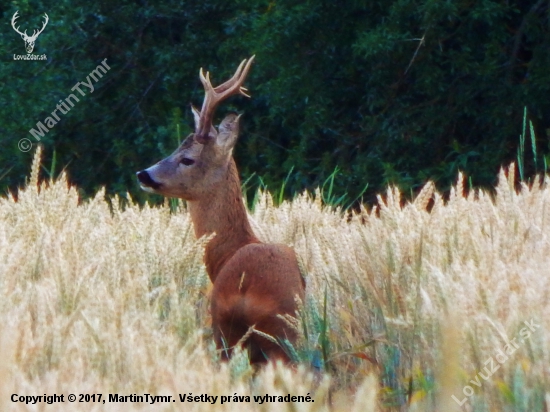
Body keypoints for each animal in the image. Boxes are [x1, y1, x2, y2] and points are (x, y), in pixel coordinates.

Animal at [135, 57, 304, 364]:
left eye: (187, 159)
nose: (144, 174)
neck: (228, 252)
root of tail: (246, 287)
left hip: (224, 325)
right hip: (284, 333)